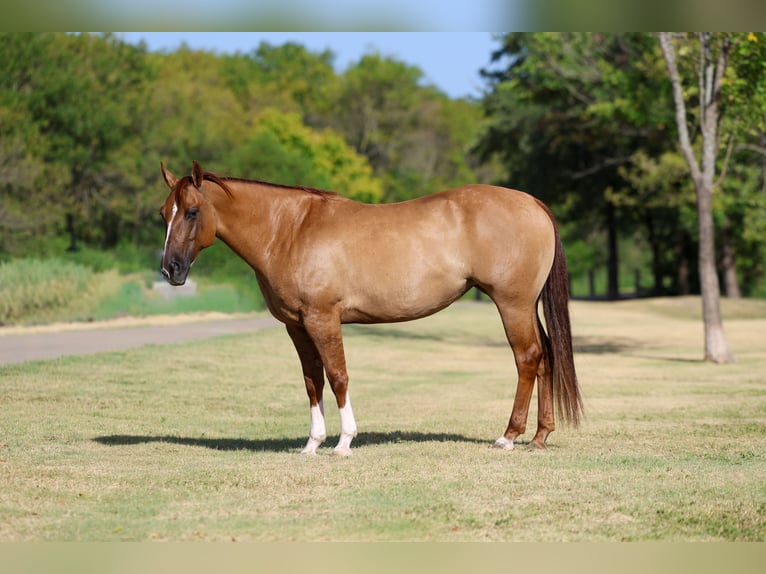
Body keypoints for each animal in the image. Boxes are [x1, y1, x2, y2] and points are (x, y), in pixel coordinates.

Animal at [159, 161, 582, 455]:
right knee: (546, 357)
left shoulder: (323, 318)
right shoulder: (297, 326)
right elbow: (312, 381)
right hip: (527, 307)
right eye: (165, 213)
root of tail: (533, 203)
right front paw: (312, 444)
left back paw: (509, 436)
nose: (170, 269)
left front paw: (344, 442)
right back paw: (540, 436)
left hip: (512, 304)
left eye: (192, 211)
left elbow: (337, 376)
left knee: (527, 358)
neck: (291, 230)